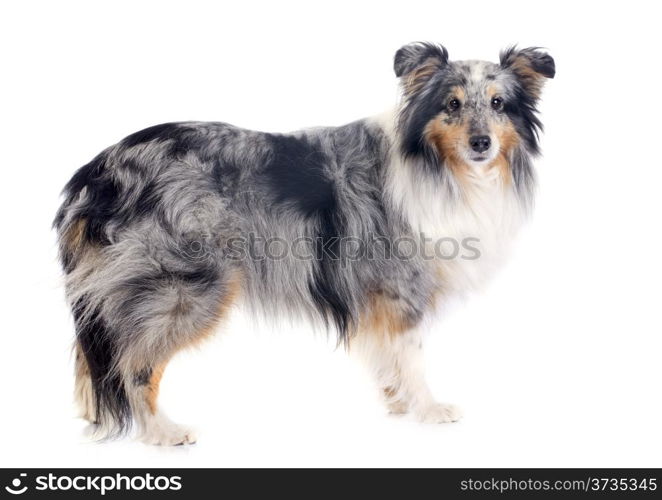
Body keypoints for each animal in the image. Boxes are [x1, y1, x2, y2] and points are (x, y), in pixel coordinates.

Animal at [55, 42, 556, 442]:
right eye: (451, 104)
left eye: (498, 103)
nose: (481, 143)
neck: (438, 166)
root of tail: (96, 172)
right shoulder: (401, 287)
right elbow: (411, 355)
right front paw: (429, 409)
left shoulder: (378, 296)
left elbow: (387, 354)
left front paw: (396, 402)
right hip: (184, 288)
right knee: (132, 364)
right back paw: (162, 433)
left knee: (93, 359)